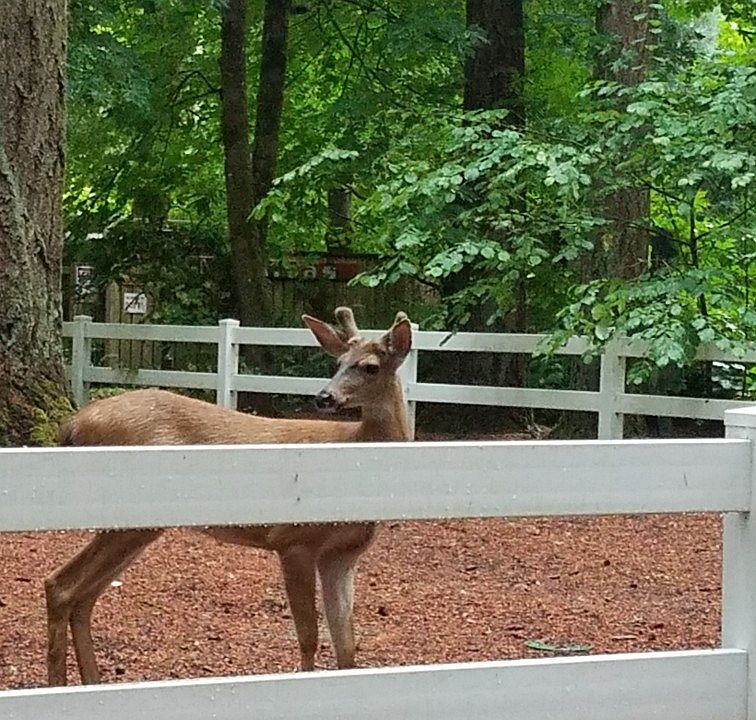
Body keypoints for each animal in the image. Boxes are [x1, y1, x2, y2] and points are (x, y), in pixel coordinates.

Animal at [45, 307, 413, 686]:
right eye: (339, 362)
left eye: (370, 366)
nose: (324, 396)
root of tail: (72, 424)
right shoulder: (293, 539)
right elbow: (309, 637)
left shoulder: (341, 555)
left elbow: (347, 645)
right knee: (61, 585)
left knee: (83, 595)